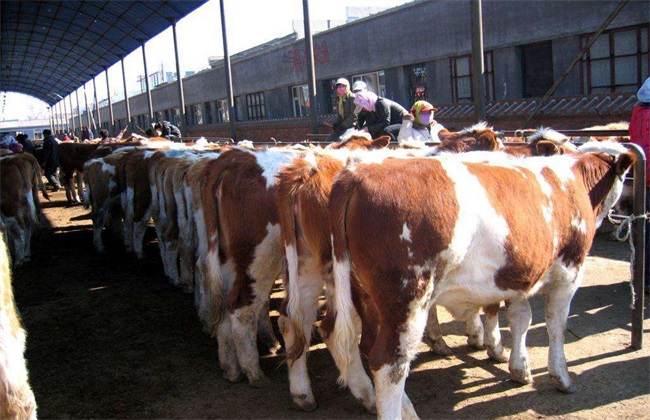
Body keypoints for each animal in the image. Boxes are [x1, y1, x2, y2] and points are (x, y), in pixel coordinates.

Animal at [324, 140, 632, 416]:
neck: (573, 179)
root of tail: (358, 172)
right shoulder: (569, 272)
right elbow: (556, 325)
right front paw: (561, 377)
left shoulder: (517, 276)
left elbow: (521, 319)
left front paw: (519, 367)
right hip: (407, 297)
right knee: (389, 364)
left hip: (362, 293)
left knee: (356, 342)